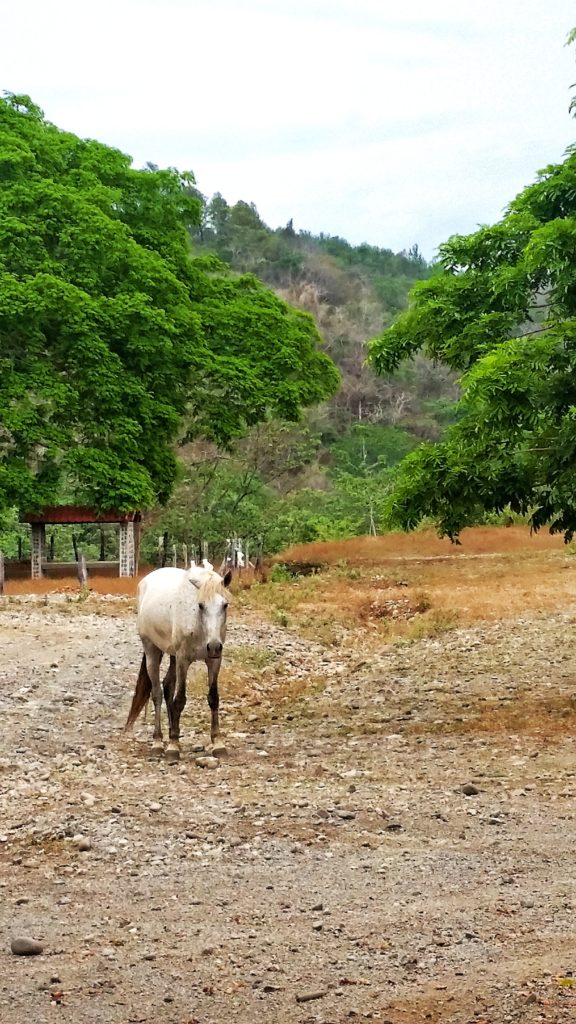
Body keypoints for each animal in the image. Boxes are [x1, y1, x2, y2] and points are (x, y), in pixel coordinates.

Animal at [125, 565, 230, 765]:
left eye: (225, 605)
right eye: (201, 605)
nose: (213, 646)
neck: (198, 625)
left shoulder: (214, 660)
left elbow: (213, 698)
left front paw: (218, 743)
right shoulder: (183, 659)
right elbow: (180, 699)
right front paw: (173, 746)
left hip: (173, 655)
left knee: (168, 686)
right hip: (152, 651)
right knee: (157, 693)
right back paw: (158, 742)